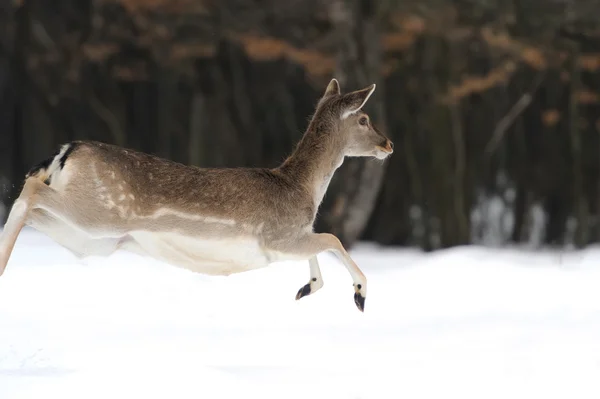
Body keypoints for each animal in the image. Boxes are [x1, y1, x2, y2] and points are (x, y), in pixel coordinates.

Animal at [0, 79, 394, 312]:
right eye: (363, 119)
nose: (388, 144)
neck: (300, 189)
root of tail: (67, 151)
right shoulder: (276, 237)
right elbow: (331, 238)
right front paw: (360, 294)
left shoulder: (291, 239)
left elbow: (320, 242)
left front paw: (306, 288)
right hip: (100, 212)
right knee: (31, 191)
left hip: (90, 238)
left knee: (32, 208)